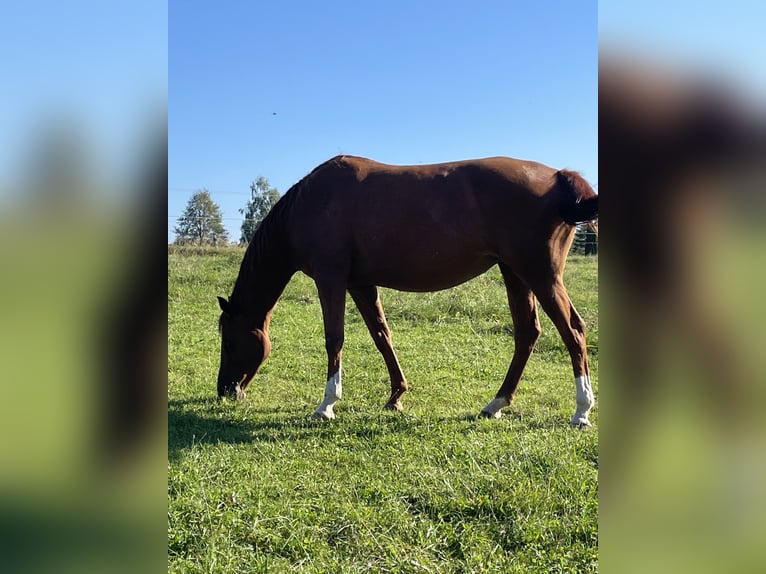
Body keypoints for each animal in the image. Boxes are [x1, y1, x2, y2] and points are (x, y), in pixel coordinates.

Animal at [216, 155, 600, 426]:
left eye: (230, 341)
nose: (225, 391)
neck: (311, 203)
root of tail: (559, 178)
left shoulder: (331, 279)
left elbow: (334, 338)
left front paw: (327, 404)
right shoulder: (360, 283)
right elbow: (381, 335)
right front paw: (396, 396)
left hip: (541, 277)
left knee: (573, 330)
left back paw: (581, 411)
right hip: (516, 275)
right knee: (527, 334)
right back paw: (496, 404)